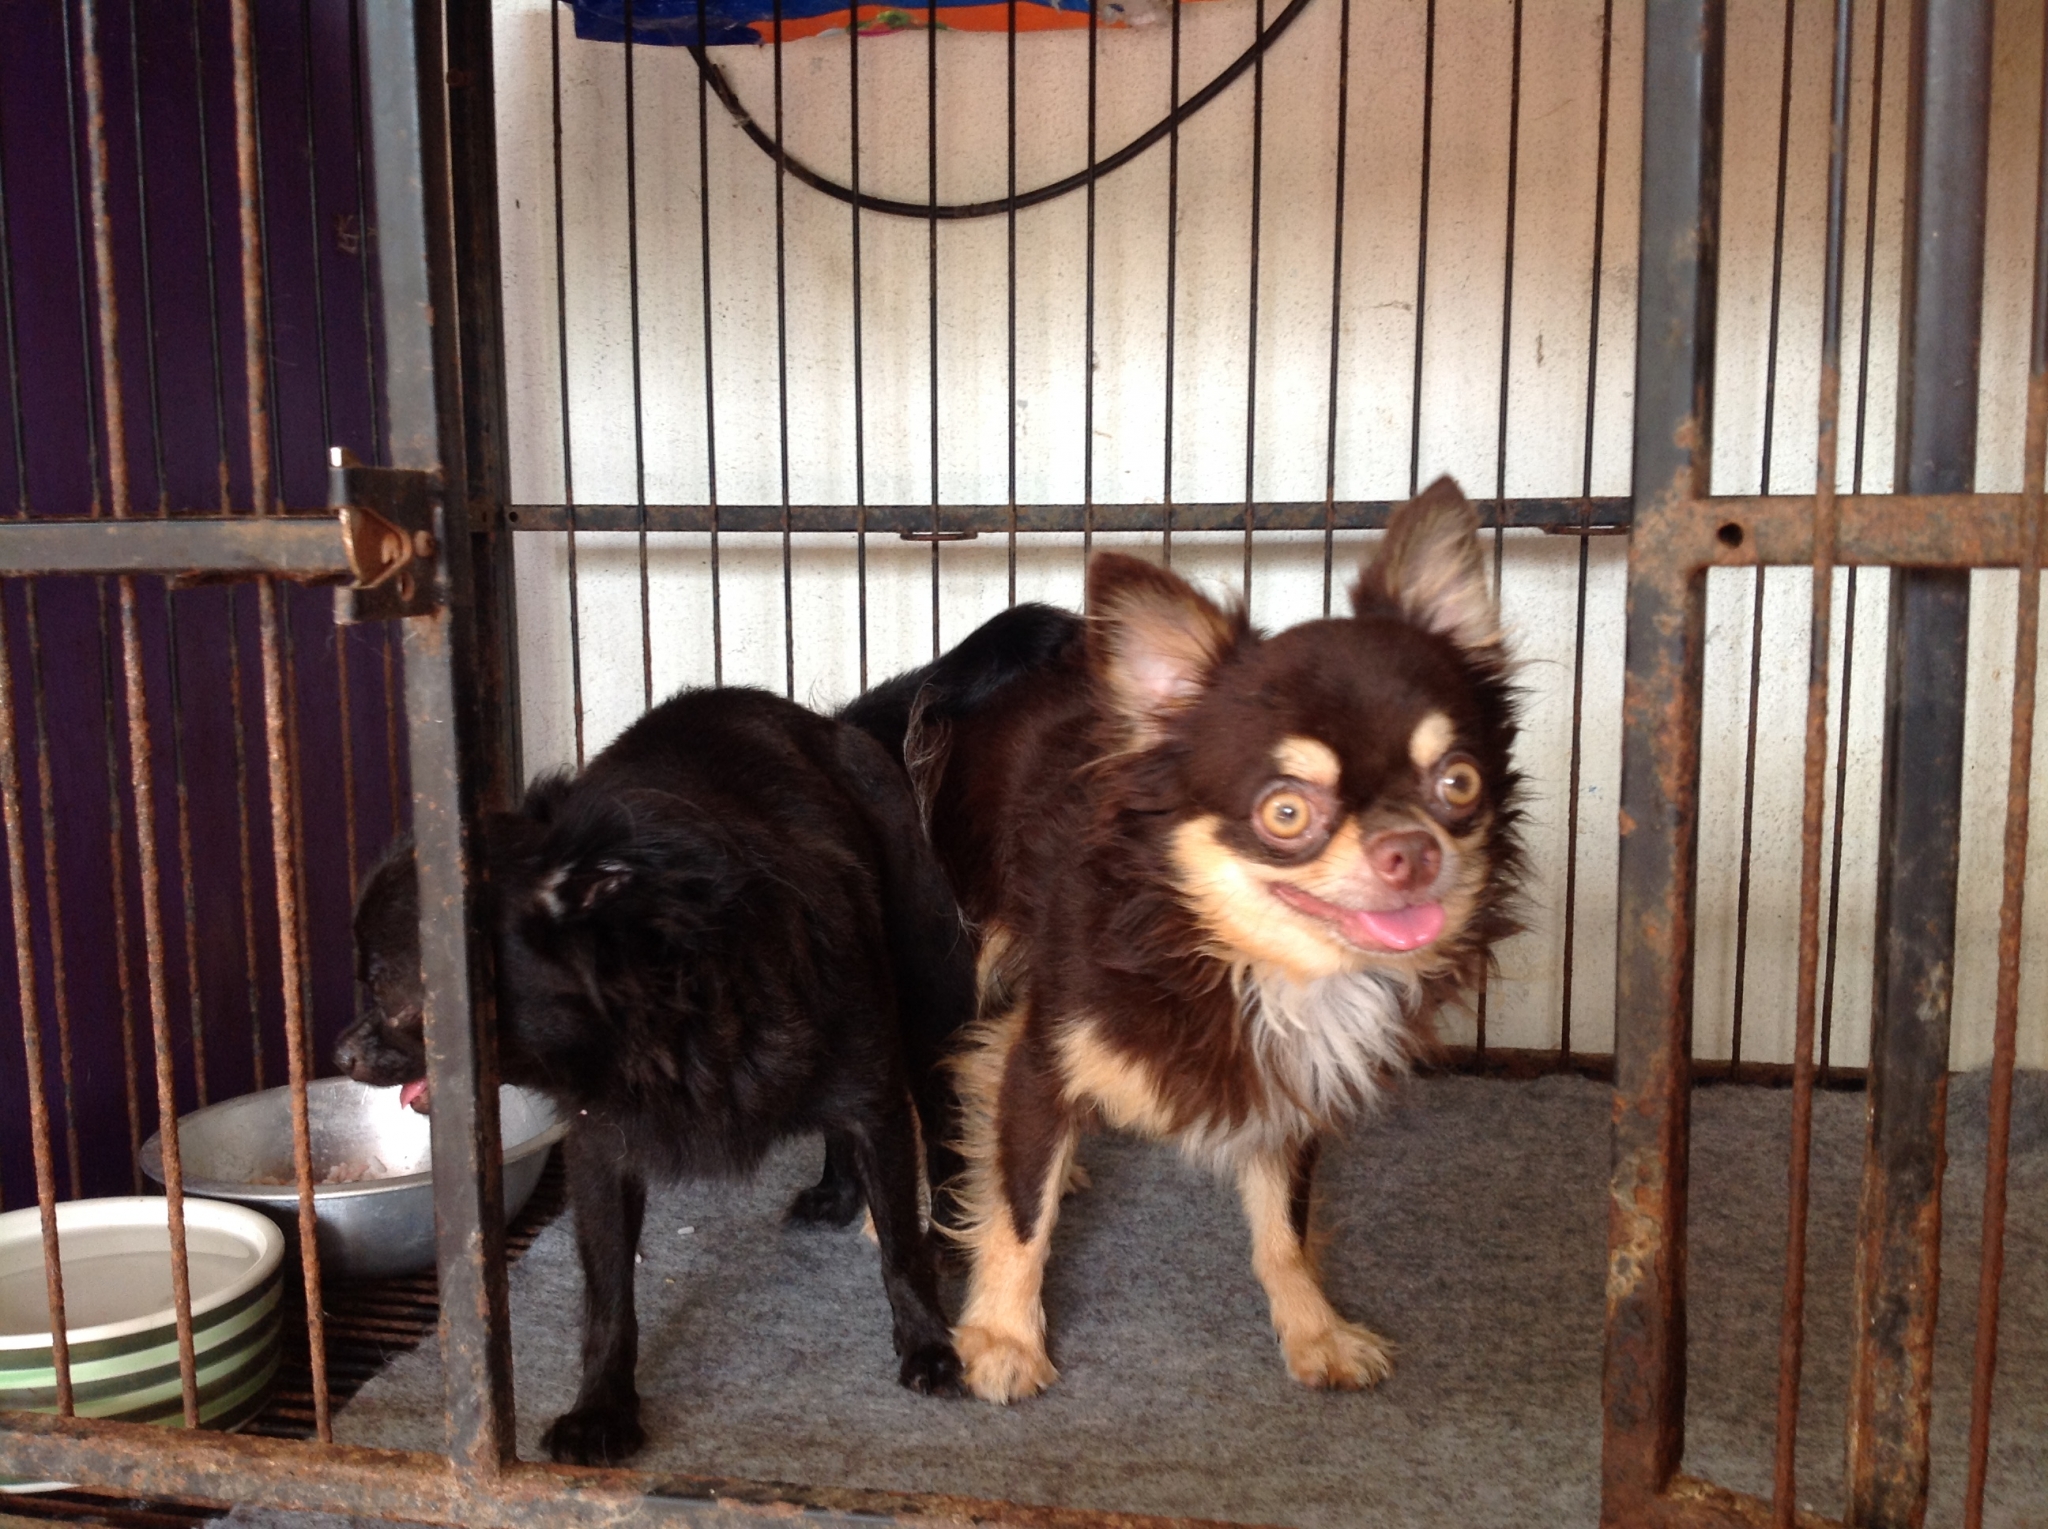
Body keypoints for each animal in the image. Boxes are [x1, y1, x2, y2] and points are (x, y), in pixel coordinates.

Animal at [333, 687, 975, 1462]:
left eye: (391, 987)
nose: (339, 1054)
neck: (661, 1020)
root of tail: (831, 724)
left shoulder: (874, 1100)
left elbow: (901, 1246)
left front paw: (927, 1344)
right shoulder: (600, 1155)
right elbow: (609, 1297)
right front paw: (601, 1410)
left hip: (928, 987)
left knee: (940, 1124)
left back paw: (949, 1231)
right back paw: (835, 1192)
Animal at [842, 477, 1521, 1403]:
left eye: (1459, 783)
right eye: (1285, 811)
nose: (1411, 850)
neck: (1227, 954)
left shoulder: (1292, 1074)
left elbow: (1285, 1221)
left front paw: (1314, 1327)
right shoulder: (1048, 1048)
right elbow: (1020, 1212)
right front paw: (1002, 1337)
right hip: (951, 954)